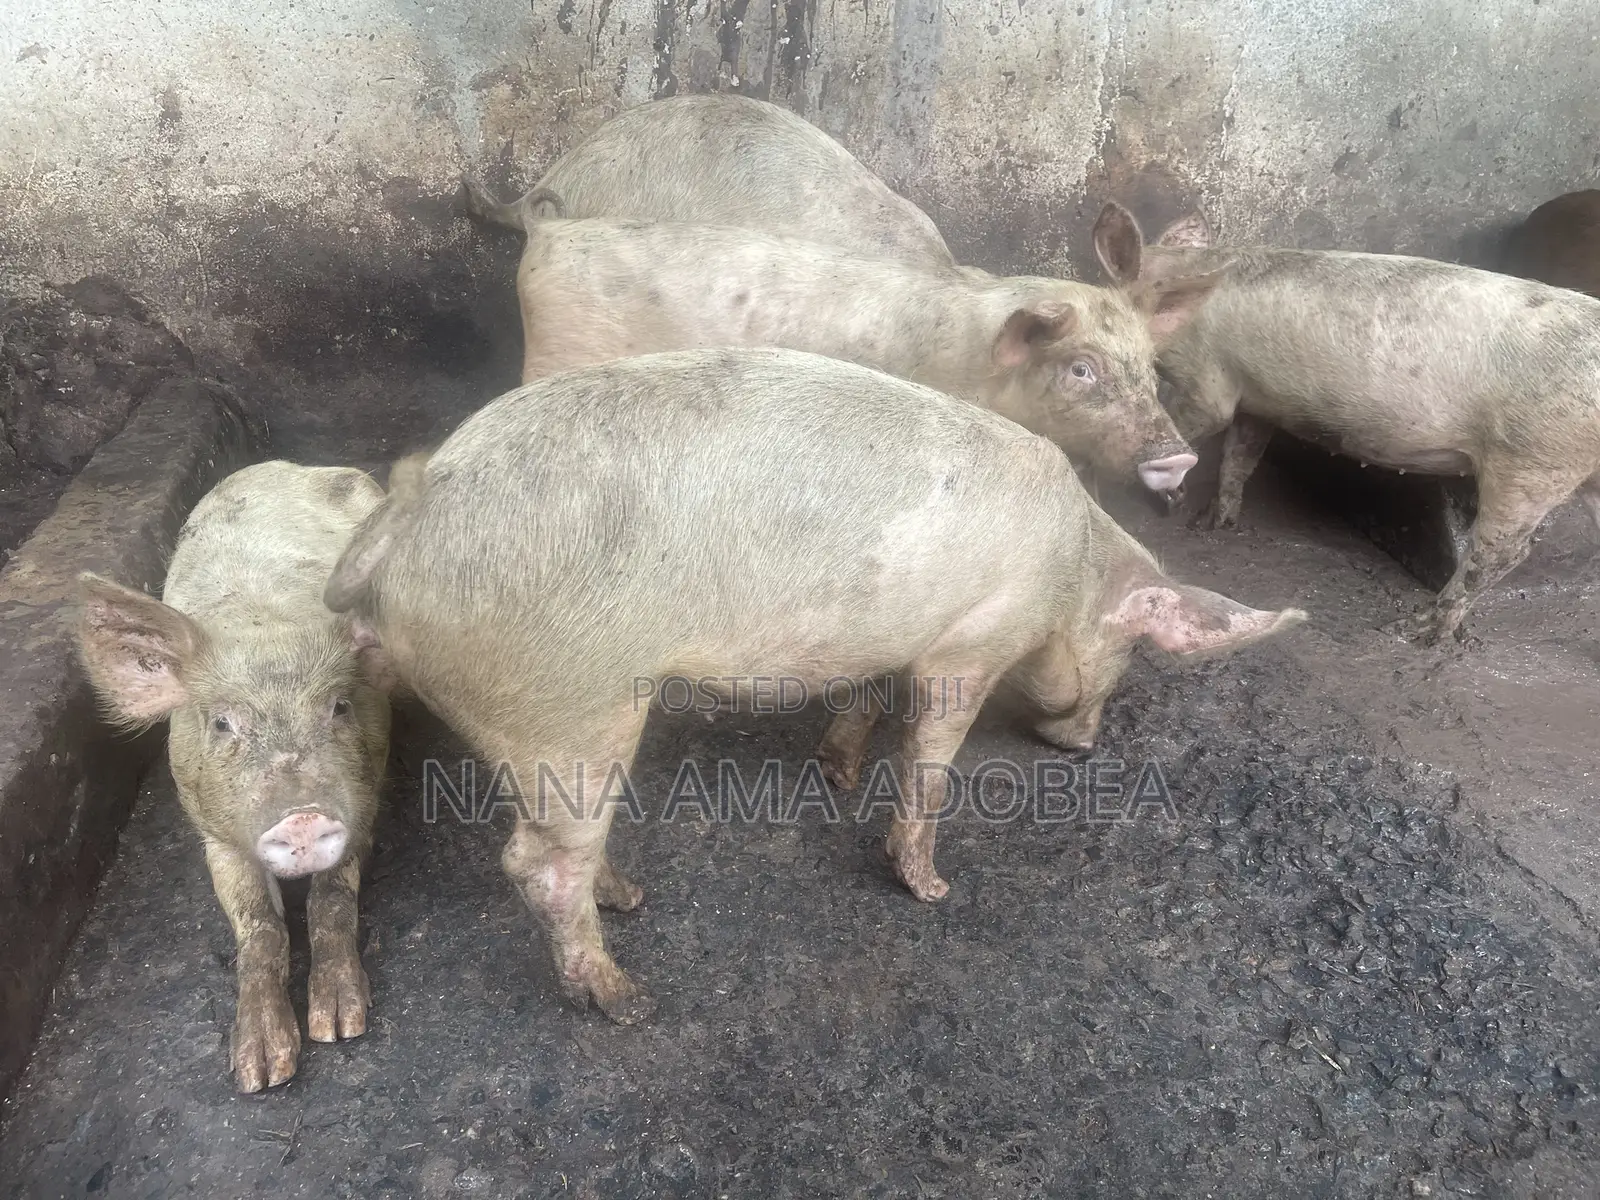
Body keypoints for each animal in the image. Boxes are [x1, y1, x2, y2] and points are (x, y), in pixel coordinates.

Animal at [74, 460, 391, 1092]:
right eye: (222, 722)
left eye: (340, 707)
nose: (301, 815)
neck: (265, 623)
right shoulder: (214, 834)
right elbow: (259, 925)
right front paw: (260, 1073)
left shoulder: (364, 803)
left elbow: (331, 901)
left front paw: (339, 1027)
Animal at [323, 346, 1305, 1021]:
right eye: (1131, 652)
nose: (1087, 742)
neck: (1071, 569)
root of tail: (402, 519)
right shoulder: (971, 639)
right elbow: (932, 752)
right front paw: (932, 889)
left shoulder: (894, 639)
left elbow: (867, 696)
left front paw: (837, 771)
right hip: (567, 699)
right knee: (534, 862)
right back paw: (627, 996)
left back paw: (627, 897)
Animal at [1093, 203, 1600, 645]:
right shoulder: (1256, 398)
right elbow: (1240, 457)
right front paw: (1212, 524)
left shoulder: (1207, 378)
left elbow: (1198, 425)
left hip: (1535, 458)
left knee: (1502, 552)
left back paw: (1412, 631)